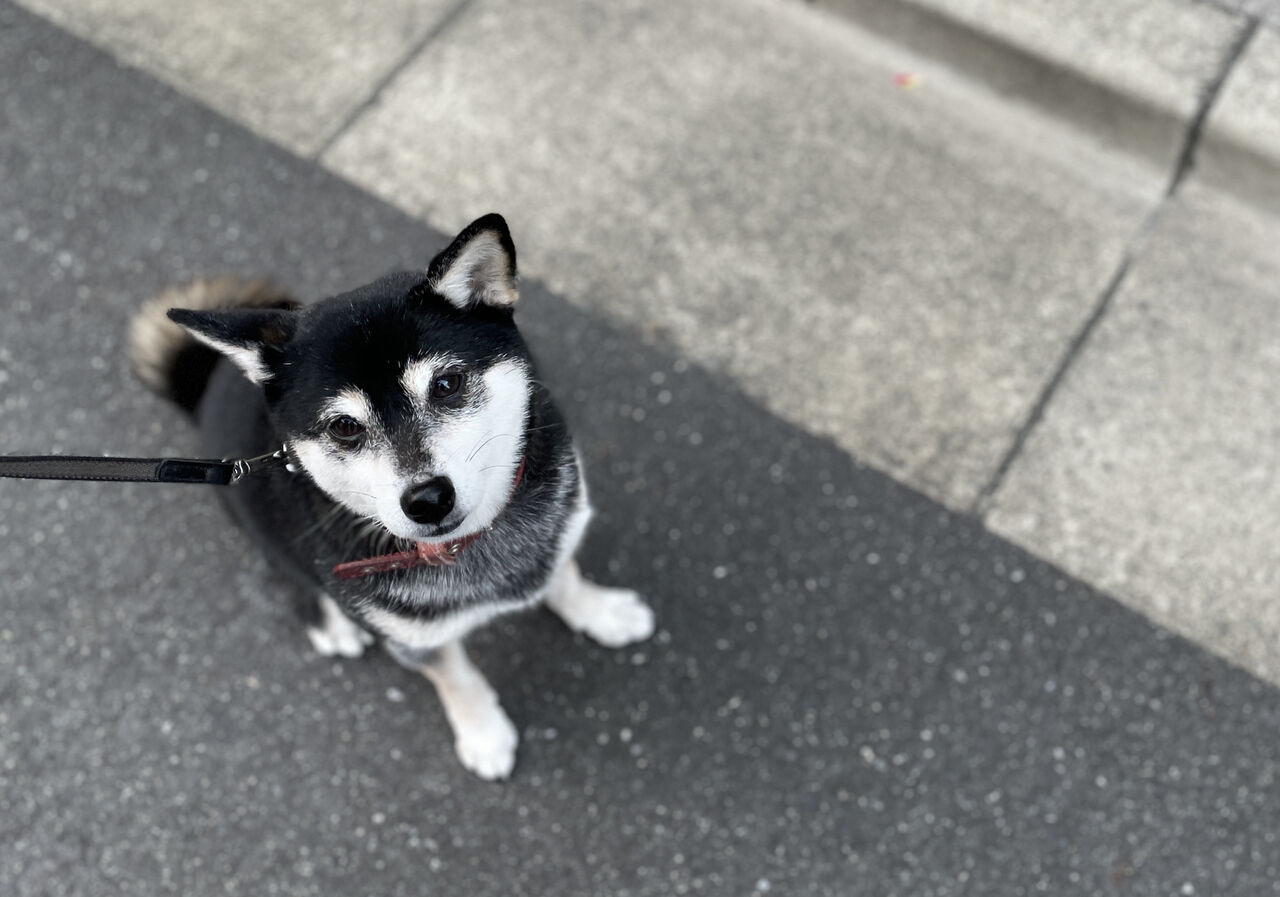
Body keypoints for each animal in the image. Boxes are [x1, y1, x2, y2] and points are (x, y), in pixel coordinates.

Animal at [127, 214, 654, 779]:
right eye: (343, 426)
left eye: (446, 384)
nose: (426, 499)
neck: (478, 547)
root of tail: (210, 386)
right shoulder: (415, 639)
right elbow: (456, 677)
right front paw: (484, 733)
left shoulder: (558, 526)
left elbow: (564, 574)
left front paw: (601, 611)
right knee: (287, 572)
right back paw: (331, 623)